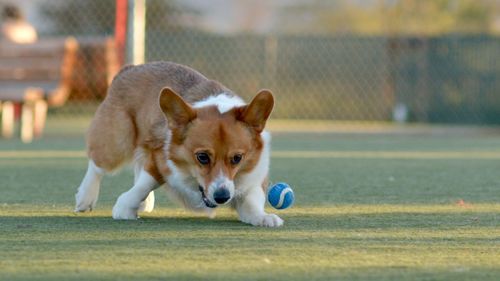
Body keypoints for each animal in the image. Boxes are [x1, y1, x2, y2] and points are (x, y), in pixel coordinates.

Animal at [75, 60, 286, 225]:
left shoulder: (252, 179)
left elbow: (252, 202)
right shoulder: (160, 158)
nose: (222, 197)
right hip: (117, 142)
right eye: (202, 157)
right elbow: (146, 182)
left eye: (237, 158)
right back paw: (85, 197)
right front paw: (125, 207)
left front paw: (264, 217)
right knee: (97, 165)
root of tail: (129, 69)